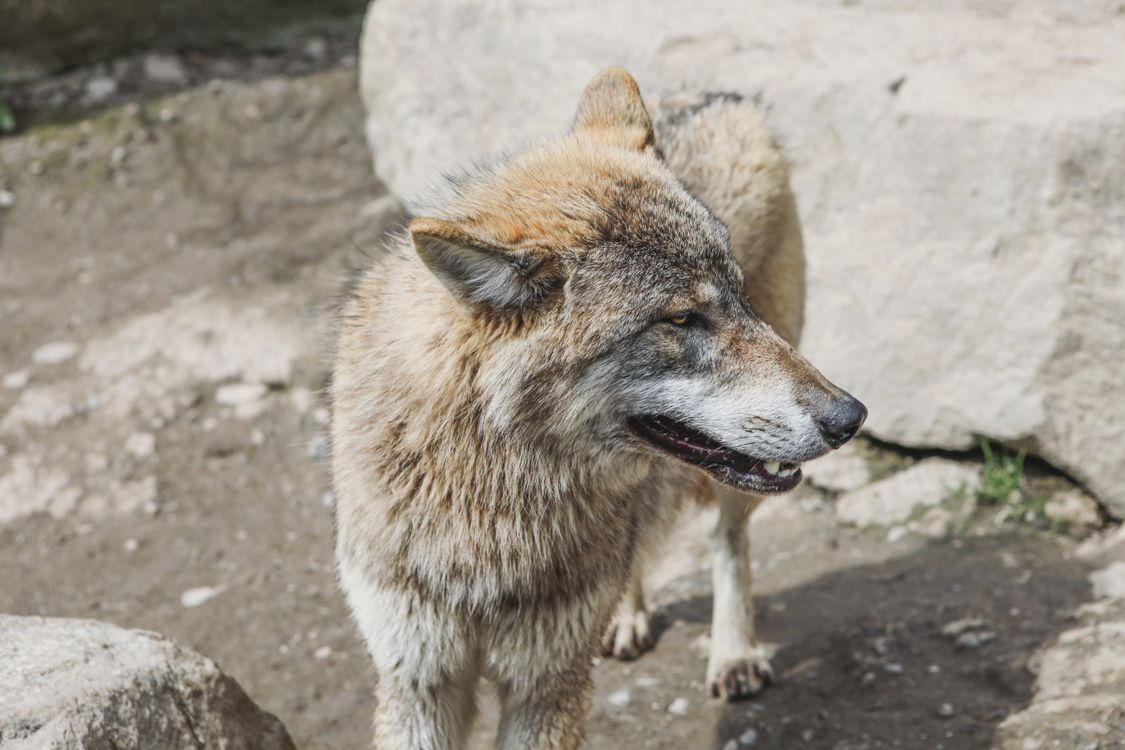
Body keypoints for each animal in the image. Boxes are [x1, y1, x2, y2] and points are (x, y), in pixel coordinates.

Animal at [333, 67, 866, 749]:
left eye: (736, 296)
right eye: (681, 319)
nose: (850, 417)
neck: (491, 510)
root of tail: (714, 94)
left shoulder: (548, 682)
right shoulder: (418, 681)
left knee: (728, 540)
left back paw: (734, 653)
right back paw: (629, 617)